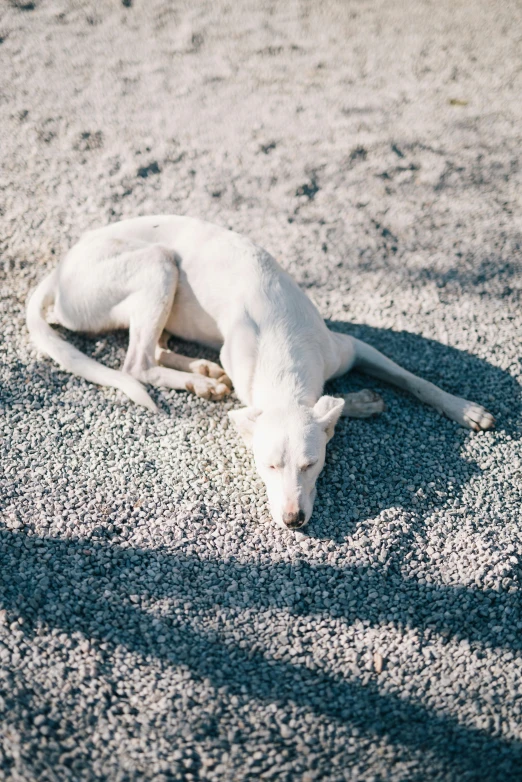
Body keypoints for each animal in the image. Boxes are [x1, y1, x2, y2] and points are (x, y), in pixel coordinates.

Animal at [27, 217, 492, 528]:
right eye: (267, 466)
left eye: (310, 464)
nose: (293, 520)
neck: (282, 360)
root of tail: (58, 271)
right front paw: (357, 404)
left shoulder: (351, 349)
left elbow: (416, 381)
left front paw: (463, 408)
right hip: (157, 265)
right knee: (136, 363)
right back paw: (199, 380)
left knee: (153, 350)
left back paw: (199, 370)